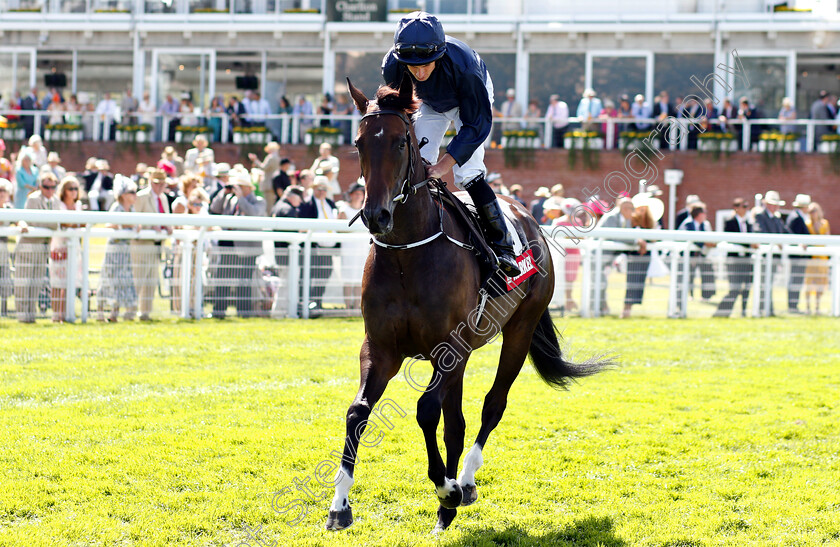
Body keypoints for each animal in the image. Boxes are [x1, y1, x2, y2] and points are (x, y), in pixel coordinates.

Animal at [324, 75, 608, 532]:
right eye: (358, 143)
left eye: (401, 143)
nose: (376, 215)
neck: (407, 253)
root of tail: (527, 216)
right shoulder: (381, 347)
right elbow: (358, 411)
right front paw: (339, 505)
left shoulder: (449, 349)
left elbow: (425, 410)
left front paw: (446, 487)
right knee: (454, 422)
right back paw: (448, 506)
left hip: (519, 329)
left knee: (492, 405)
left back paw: (466, 482)